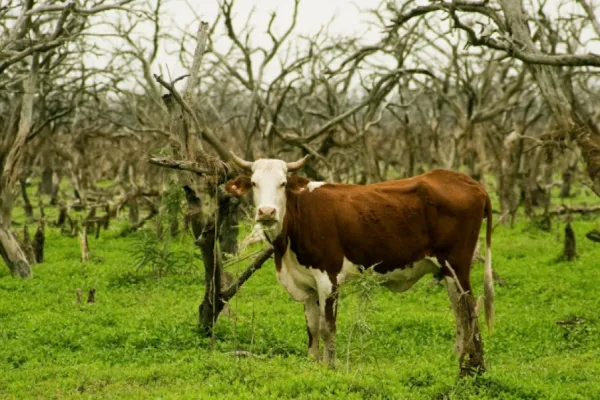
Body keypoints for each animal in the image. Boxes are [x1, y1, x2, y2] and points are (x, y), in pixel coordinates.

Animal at [225, 152, 492, 376]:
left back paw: (474, 365)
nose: (266, 212)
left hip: (458, 265)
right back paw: (456, 358)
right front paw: (312, 365)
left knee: (470, 312)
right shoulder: (307, 284)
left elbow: (327, 328)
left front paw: (330, 367)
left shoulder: (329, 279)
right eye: (254, 183)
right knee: (459, 312)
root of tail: (472, 183)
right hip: (447, 271)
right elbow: (312, 328)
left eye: (282, 183)